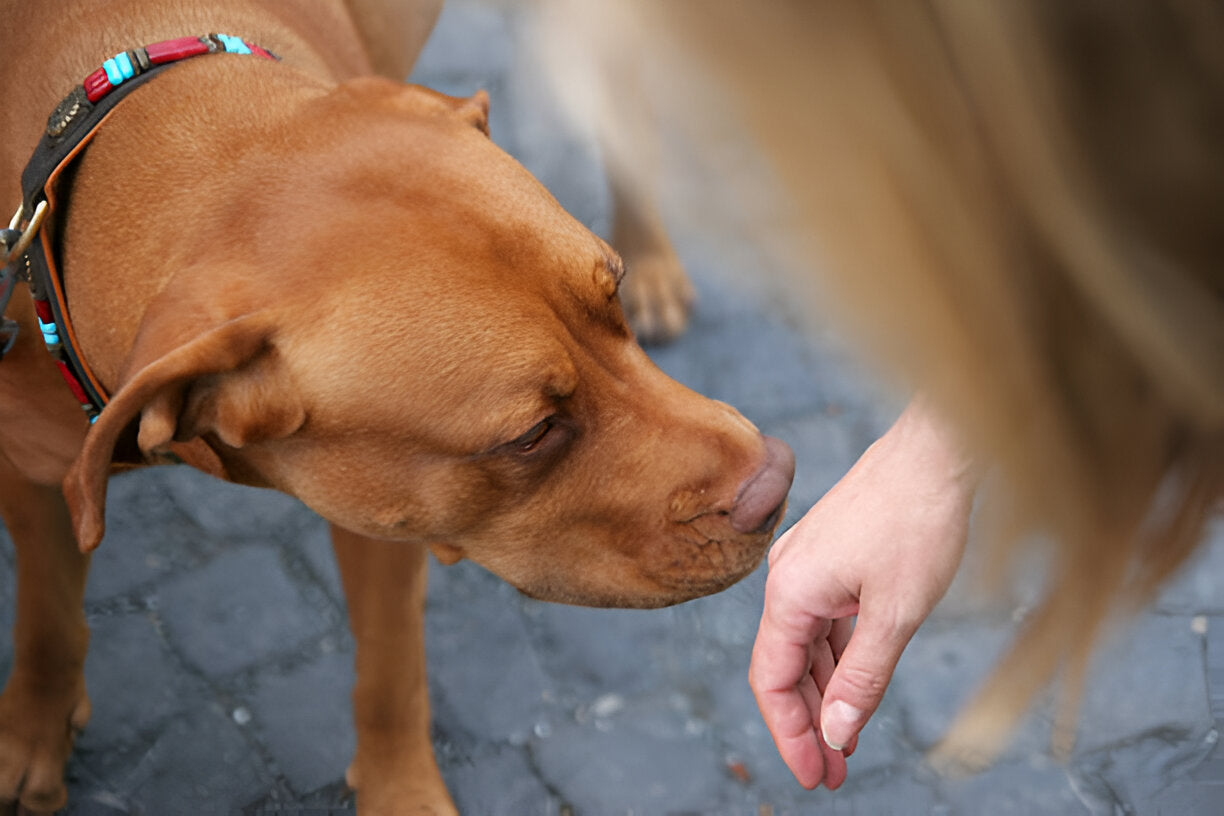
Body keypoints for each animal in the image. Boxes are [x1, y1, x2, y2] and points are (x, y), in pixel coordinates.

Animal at [0, 3, 793, 812]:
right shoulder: (30, 472)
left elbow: (390, 668)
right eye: (533, 433)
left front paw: (399, 788)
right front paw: (32, 733)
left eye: (615, 297)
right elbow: (47, 616)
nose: (780, 483)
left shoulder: (386, 523)